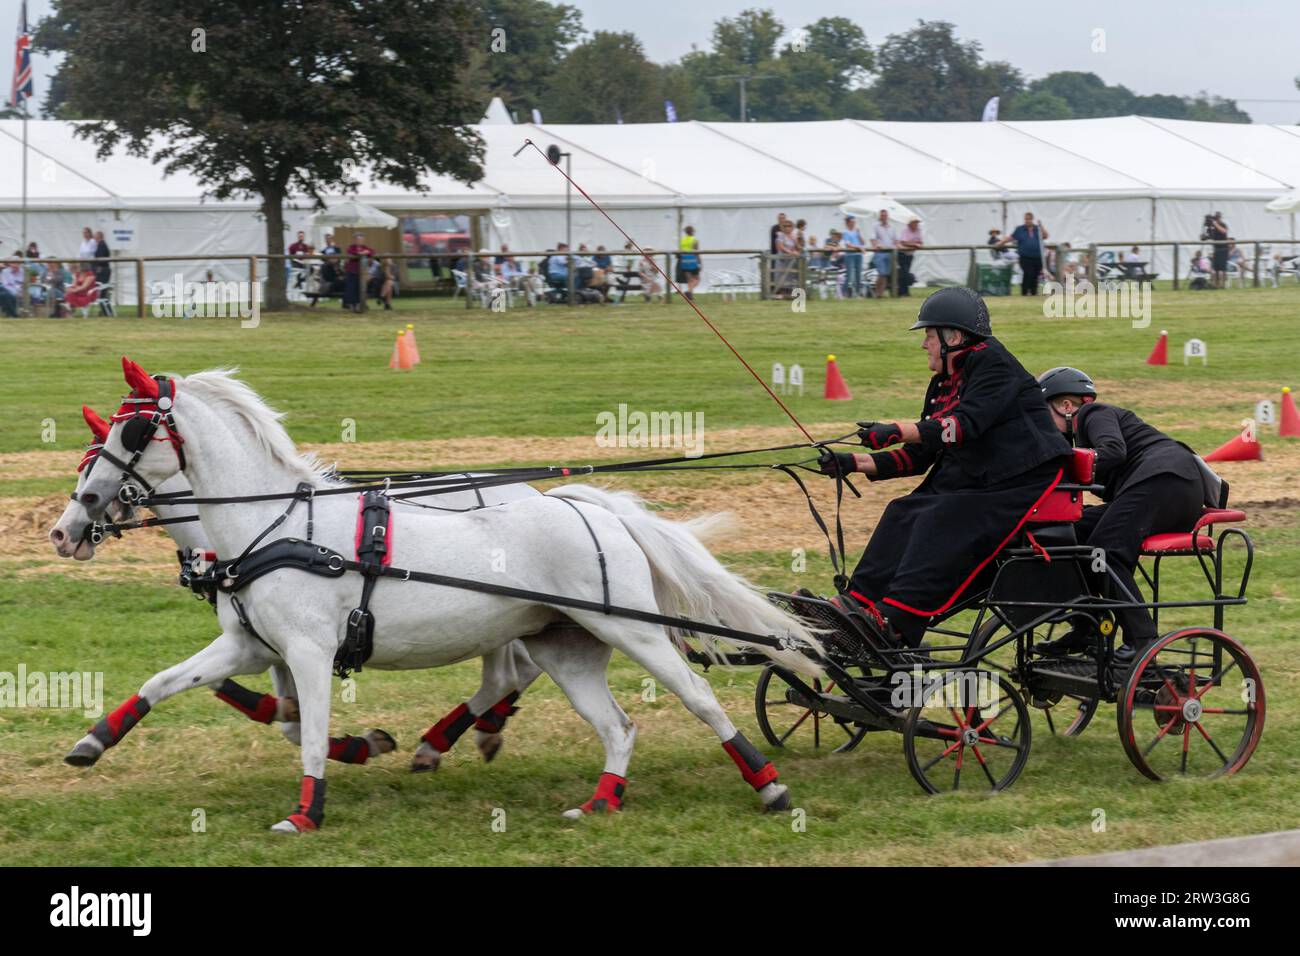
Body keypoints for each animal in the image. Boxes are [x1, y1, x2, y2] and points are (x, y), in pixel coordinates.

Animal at [55, 358, 821, 832]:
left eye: (131, 428)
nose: (70, 523)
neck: (272, 526)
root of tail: (586, 507)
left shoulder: (306, 650)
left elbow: (307, 735)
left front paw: (307, 812)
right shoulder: (250, 645)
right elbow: (171, 684)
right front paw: (92, 741)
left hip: (629, 628)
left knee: (696, 696)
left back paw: (770, 784)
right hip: (564, 646)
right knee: (614, 725)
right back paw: (597, 801)